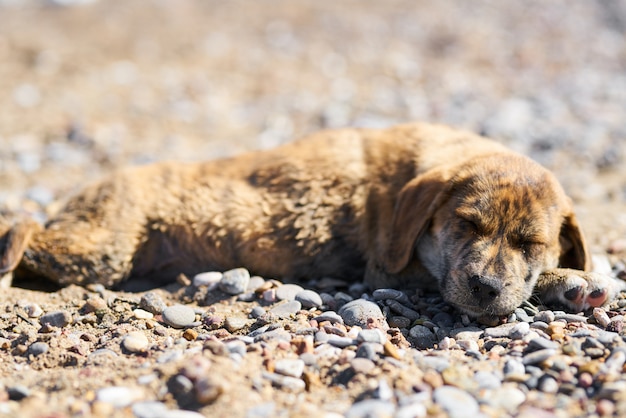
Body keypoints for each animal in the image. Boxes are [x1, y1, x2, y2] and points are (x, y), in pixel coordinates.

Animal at [1, 122, 624, 318]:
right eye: (467, 226)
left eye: (529, 242)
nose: (484, 288)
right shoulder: (389, 268)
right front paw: (574, 280)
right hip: (101, 248)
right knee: (24, 223)